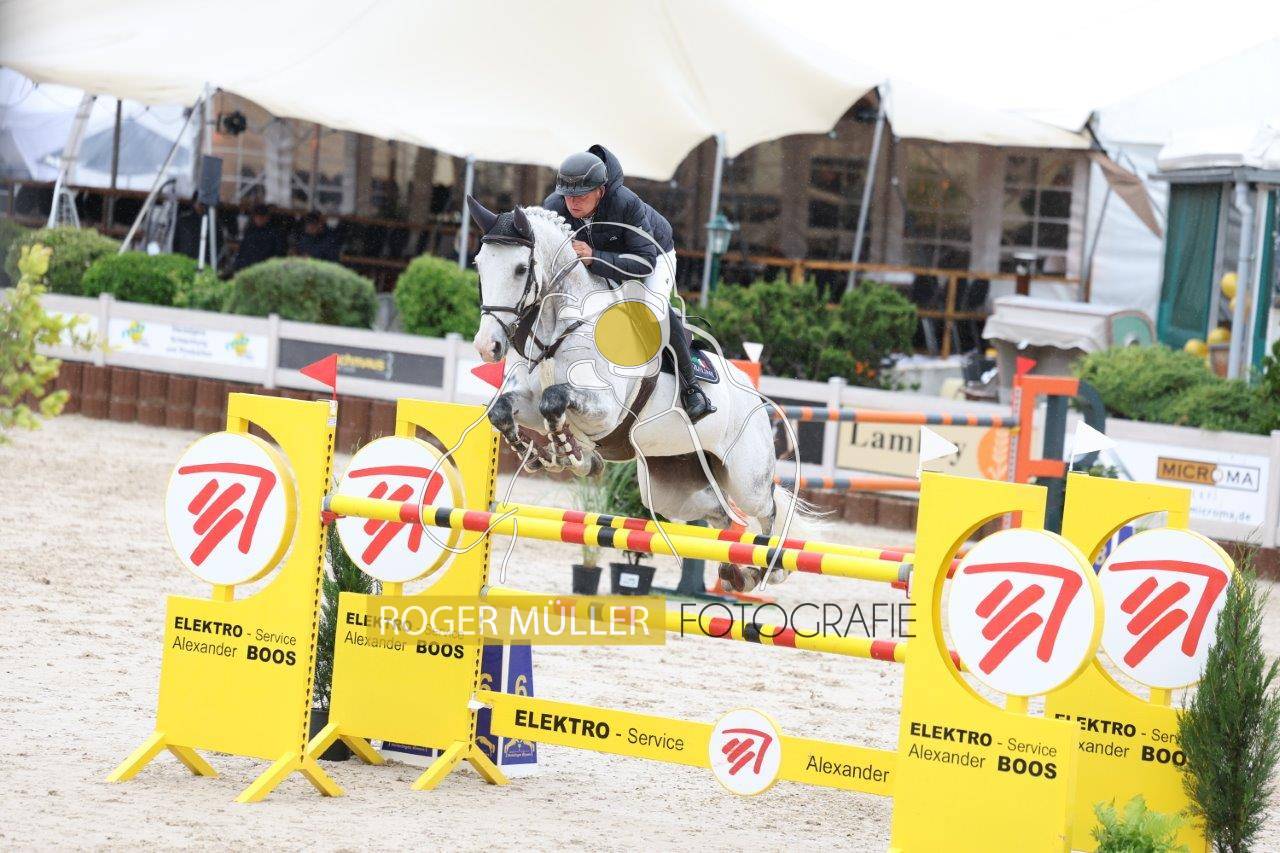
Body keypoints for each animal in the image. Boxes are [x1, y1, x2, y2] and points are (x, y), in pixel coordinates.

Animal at [465, 197, 810, 591]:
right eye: (479, 264)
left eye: (521, 268)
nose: (487, 346)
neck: (560, 325)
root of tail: (756, 396)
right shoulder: (530, 402)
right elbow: (504, 410)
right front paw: (545, 456)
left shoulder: (604, 410)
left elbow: (555, 400)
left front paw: (571, 456)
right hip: (671, 489)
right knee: (720, 516)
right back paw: (735, 573)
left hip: (745, 478)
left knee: (767, 510)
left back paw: (767, 569)